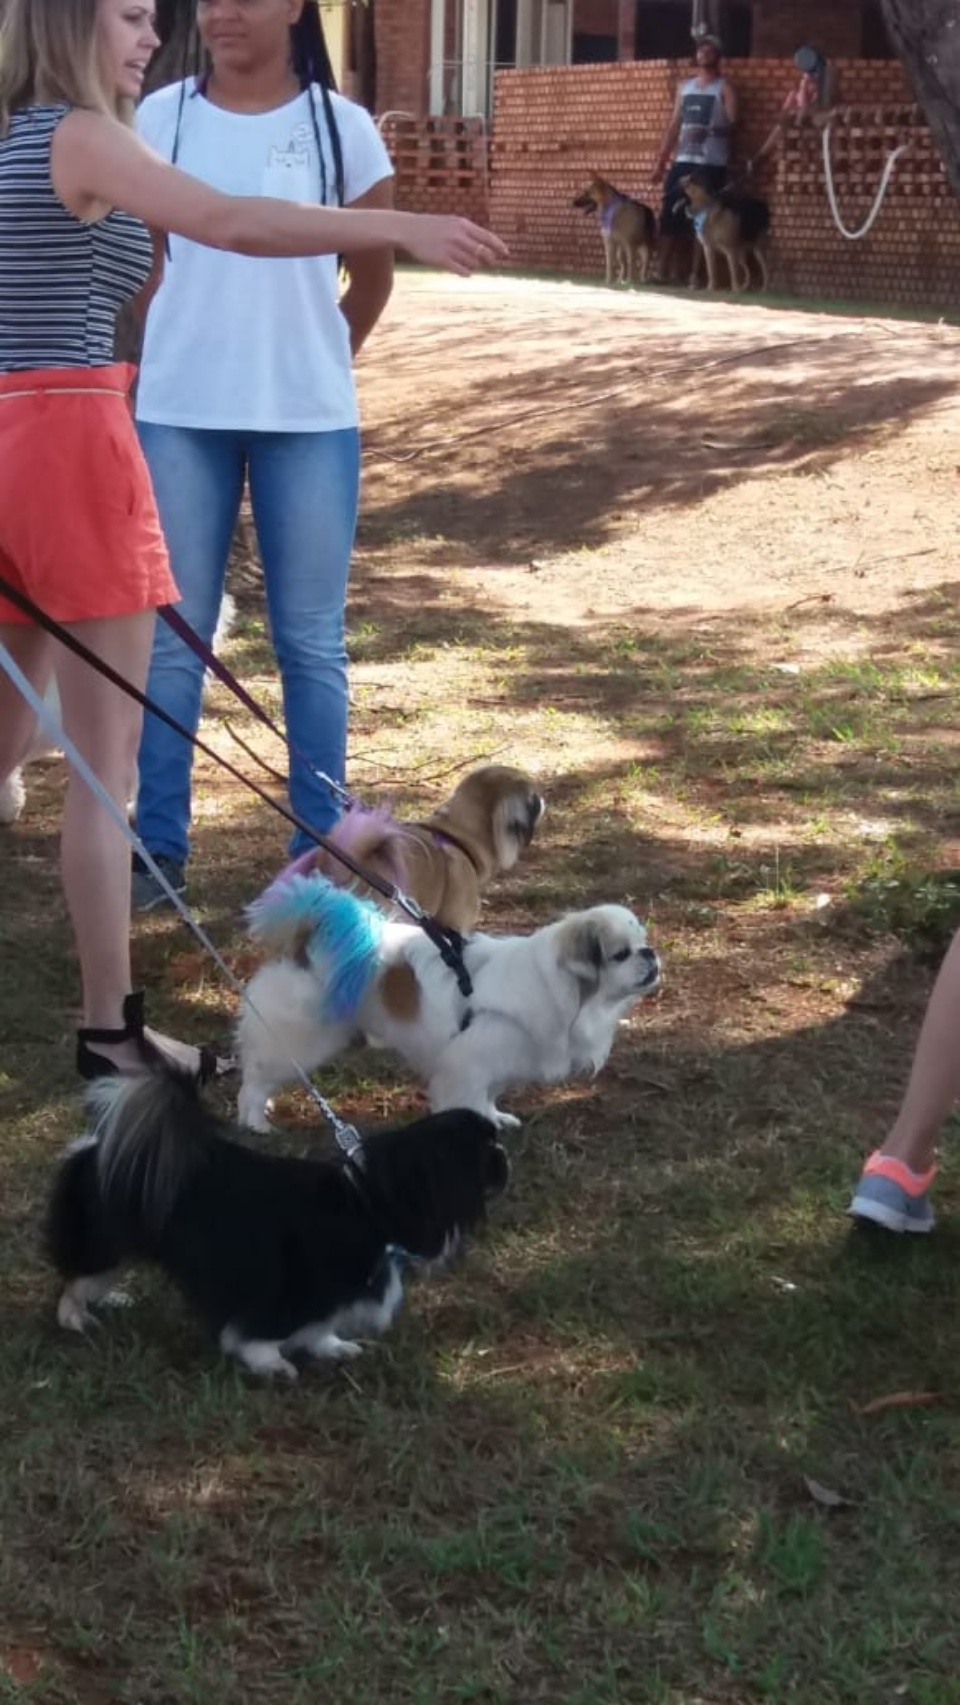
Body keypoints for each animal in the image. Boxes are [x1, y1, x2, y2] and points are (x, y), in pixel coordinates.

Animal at [45, 1070, 511, 1377]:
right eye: (486, 1152)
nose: (506, 1160)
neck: (369, 1203)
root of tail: (96, 1148)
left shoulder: (329, 1294)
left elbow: (320, 1327)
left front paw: (331, 1348)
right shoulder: (289, 1286)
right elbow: (263, 1332)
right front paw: (269, 1363)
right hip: (104, 1247)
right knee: (73, 1284)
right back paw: (75, 1319)